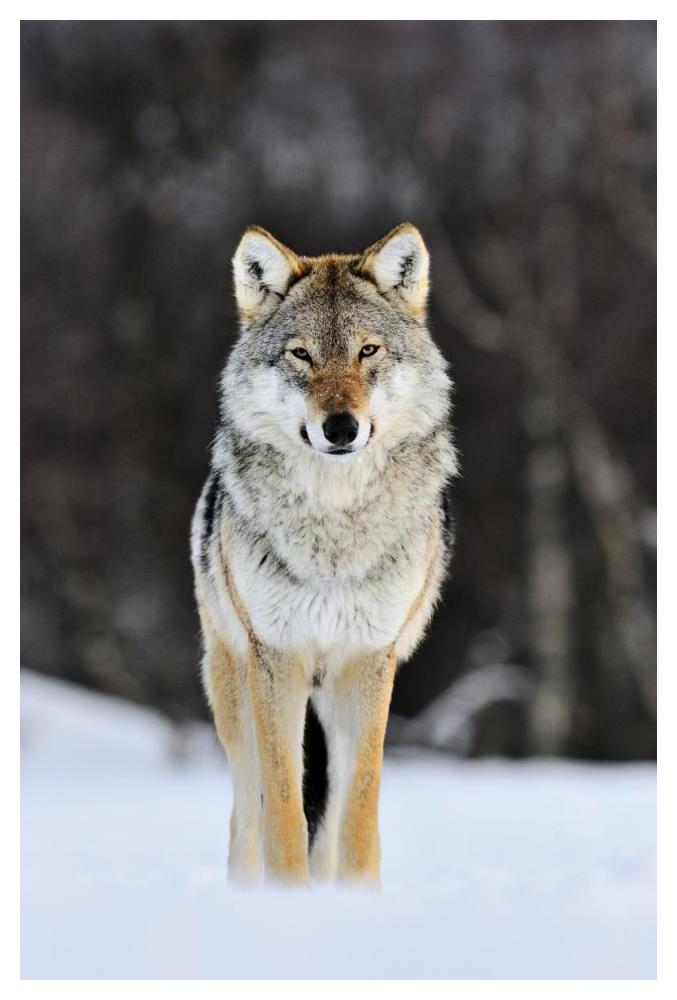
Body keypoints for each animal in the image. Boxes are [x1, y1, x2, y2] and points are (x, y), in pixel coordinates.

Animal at [191, 223, 457, 886]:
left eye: (368, 352)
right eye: (302, 355)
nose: (340, 427)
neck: (334, 538)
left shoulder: (368, 663)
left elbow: (358, 815)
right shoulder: (276, 660)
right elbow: (284, 810)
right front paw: (289, 900)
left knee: (332, 817)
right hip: (233, 692)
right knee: (246, 813)